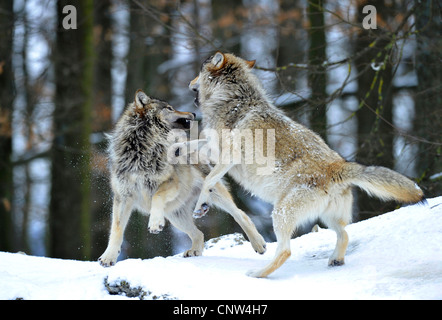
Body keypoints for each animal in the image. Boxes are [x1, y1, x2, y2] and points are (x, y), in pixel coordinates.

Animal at [99, 90, 266, 268]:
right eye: (169, 108)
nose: (193, 113)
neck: (142, 148)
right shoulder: (122, 197)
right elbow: (116, 230)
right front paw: (108, 257)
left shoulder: (172, 184)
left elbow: (157, 196)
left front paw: (154, 223)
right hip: (175, 216)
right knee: (199, 233)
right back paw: (194, 250)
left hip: (214, 196)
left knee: (240, 214)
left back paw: (258, 244)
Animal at [189, 52, 424, 278]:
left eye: (199, 69)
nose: (189, 83)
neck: (233, 99)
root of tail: (337, 166)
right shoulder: (212, 148)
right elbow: (194, 151)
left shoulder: (228, 156)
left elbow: (208, 180)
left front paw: (200, 207)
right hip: (327, 218)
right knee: (345, 234)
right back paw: (335, 260)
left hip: (280, 213)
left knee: (285, 251)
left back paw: (257, 274)